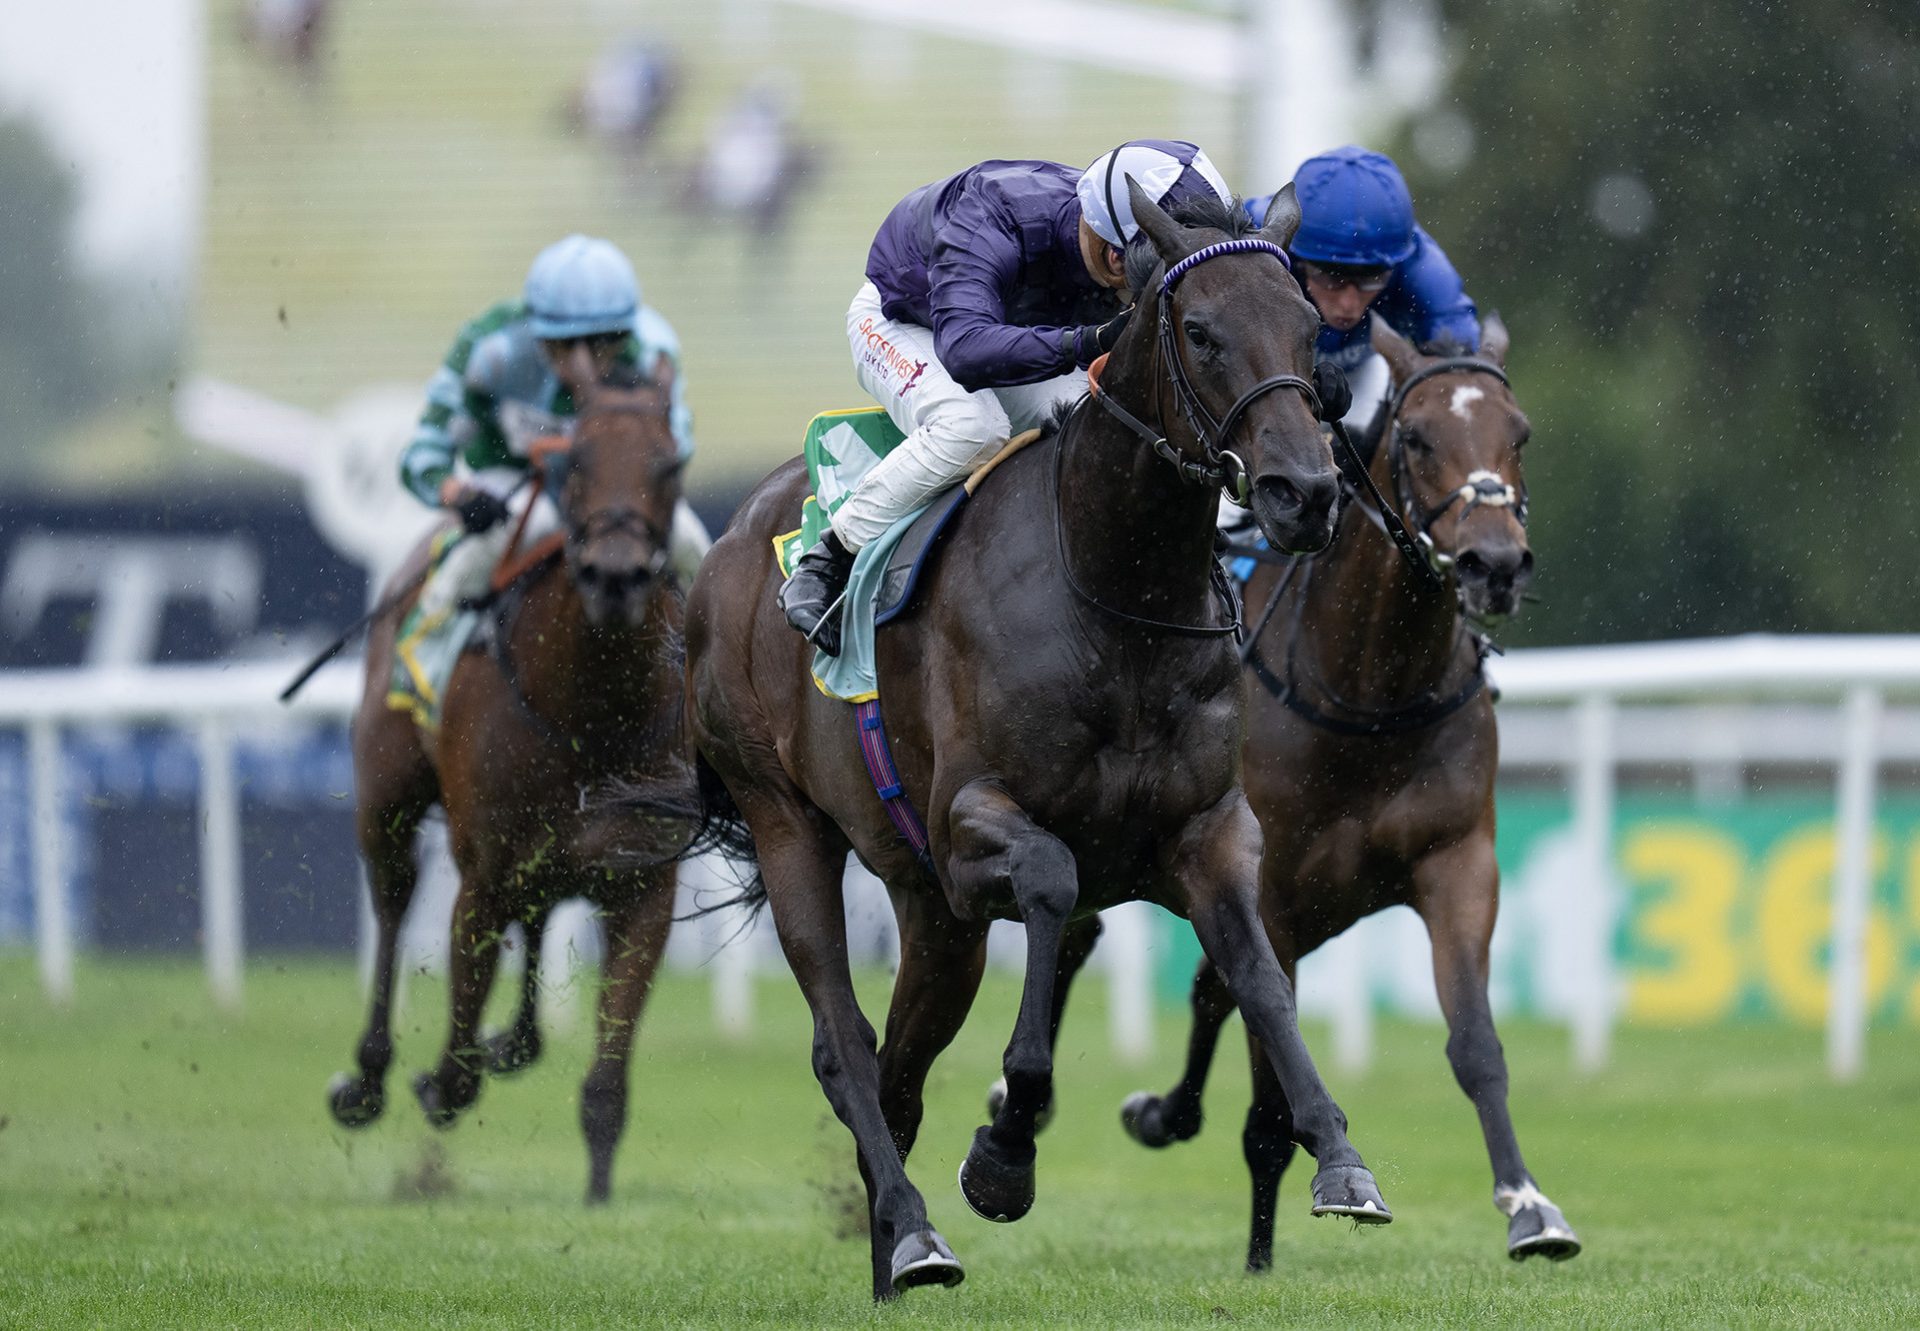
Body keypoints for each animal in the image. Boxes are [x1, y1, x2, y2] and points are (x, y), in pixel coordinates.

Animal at [328, 363, 691, 1206]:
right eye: (572, 462)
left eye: (670, 464)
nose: (616, 576)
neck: (593, 712)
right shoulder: (484, 876)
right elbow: (457, 1051)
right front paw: (438, 1080)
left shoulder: (643, 883)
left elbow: (608, 1073)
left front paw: (599, 1193)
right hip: (388, 798)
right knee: (393, 904)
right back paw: (368, 1077)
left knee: (537, 920)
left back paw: (514, 1041)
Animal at [668, 187, 1390, 1298]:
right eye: (1201, 331)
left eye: (1312, 329)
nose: (1303, 492)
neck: (1115, 597)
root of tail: (735, 537)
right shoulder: (972, 826)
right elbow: (1053, 883)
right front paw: (1006, 1151)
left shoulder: (1208, 828)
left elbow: (1258, 974)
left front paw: (1341, 1156)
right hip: (787, 818)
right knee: (843, 1042)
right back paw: (918, 1234)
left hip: (932, 910)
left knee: (901, 1069)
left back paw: (894, 1247)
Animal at [1029, 309, 1582, 1267]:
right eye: (1417, 435)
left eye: (1519, 435)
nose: (1494, 563)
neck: (1371, 690)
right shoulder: (1274, 888)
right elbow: (1268, 1105)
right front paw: (1265, 1258)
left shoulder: (1457, 861)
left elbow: (1475, 1043)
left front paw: (1528, 1205)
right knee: (1083, 937)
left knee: (1204, 987)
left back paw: (1163, 1111)